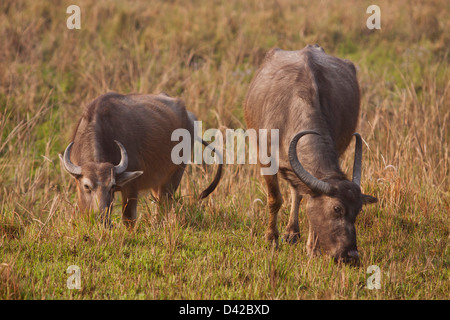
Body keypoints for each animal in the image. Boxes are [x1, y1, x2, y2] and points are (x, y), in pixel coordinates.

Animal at [59, 92, 221, 228]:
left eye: (112, 186)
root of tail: (188, 115)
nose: (103, 220)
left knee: (164, 203)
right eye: (87, 186)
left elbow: (128, 218)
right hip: (157, 181)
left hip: (176, 174)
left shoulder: (131, 187)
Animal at [244, 43, 378, 262]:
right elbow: (275, 199)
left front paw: (312, 248)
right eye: (337, 208)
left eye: (358, 210)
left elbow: (307, 199)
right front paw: (271, 238)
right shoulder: (264, 158)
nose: (351, 255)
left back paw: (292, 232)